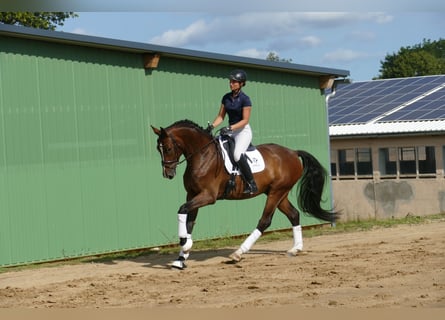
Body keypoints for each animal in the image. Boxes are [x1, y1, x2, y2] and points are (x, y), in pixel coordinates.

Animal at [151, 119, 334, 268]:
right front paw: (181, 257)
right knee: (294, 214)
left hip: (276, 192)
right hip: (278, 193)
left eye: (168, 148)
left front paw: (184, 243)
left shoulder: (208, 196)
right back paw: (296, 249)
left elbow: (182, 210)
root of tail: (293, 152)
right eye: (158, 149)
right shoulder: (192, 195)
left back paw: (238, 253)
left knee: (265, 221)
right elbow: (189, 222)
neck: (202, 155)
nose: (168, 174)